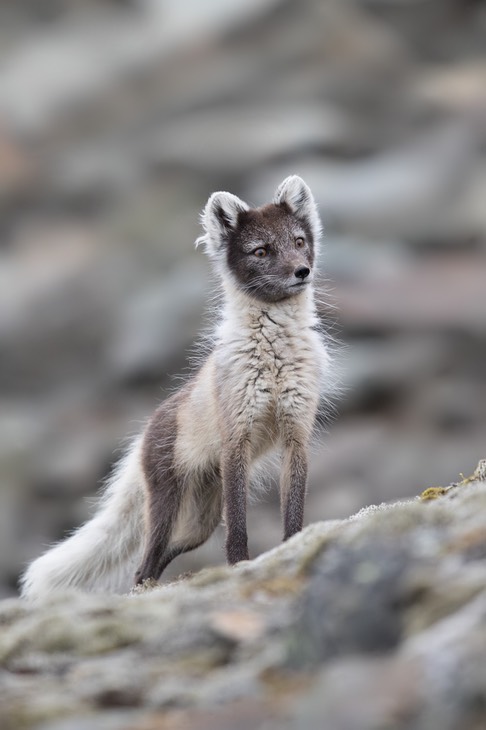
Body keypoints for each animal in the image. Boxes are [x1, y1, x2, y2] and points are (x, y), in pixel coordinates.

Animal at [21, 175, 334, 596]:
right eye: (261, 250)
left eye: (299, 241)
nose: (302, 271)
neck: (274, 356)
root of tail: (146, 429)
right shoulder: (236, 439)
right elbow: (238, 525)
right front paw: (240, 565)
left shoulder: (296, 434)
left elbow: (294, 512)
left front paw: (293, 546)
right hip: (167, 504)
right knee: (143, 563)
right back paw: (143, 588)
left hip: (199, 523)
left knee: (161, 557)